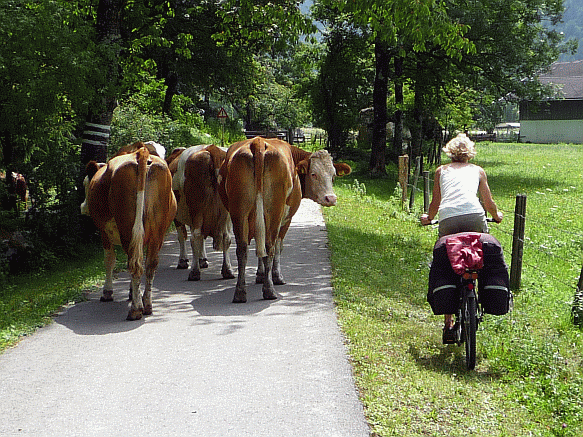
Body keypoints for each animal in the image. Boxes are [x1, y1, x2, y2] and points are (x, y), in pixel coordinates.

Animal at [81, 145, 176, 318]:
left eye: (85, 183)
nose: (83, 207)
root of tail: (140, 153)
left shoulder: (104, 232)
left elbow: (109, 260)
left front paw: (107, 292)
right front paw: (132, 292)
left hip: (127, 228)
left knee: (134, 264)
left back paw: (136, 309)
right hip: (157, 233)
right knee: (149, 264)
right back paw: (146, 304)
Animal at [172, 143, 236, 280]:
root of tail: (212, 148)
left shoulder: (177, 216)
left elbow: (182, 236)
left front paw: (183, 261)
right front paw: (202, 259)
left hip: (196, 207)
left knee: (195, 236)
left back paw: (194, 272)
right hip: (226, 212)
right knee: (226, 237)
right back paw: (227, 271)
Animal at [217, 136, 350, 304]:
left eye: (333, 176)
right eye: (313, 174)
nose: (331, 198)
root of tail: (258, 142)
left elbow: (258, 244)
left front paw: (260, 274)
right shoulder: (286, 218)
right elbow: (278, 246)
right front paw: (275, 276)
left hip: (239, 212)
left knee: (242, 248)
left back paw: (240, 292)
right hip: (274, 212)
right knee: (270, 246)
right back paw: (269, 290)